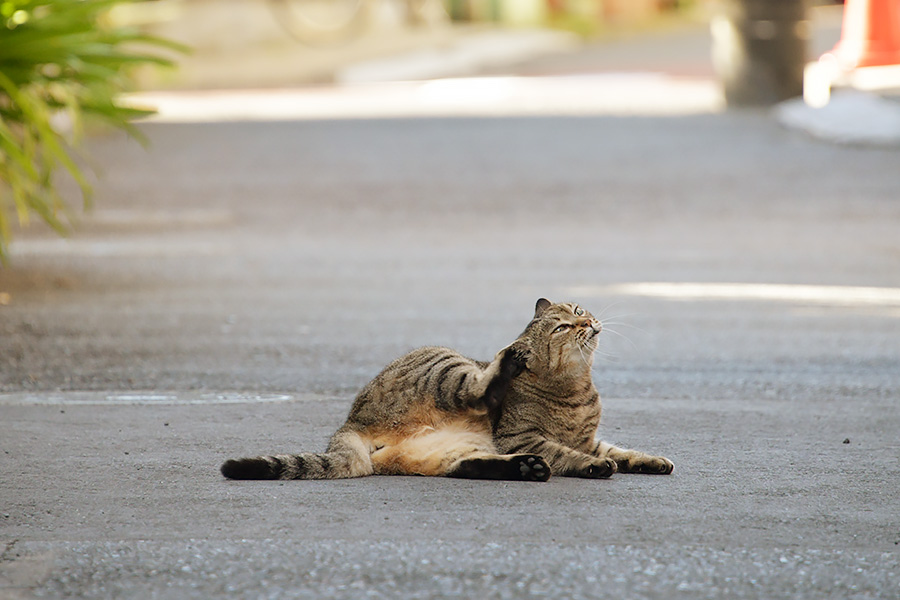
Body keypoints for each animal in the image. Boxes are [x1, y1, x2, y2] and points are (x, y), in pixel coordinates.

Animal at [221, 300, 672, 482]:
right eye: (562, 327)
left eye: (578, 310)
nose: (589, 321)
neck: (577, 389)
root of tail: (350, 421)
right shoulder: (522, 437)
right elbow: (571, 455)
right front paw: (593, 467)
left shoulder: (589, 438)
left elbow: (624, 451)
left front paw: (651, 460)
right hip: (447, 367)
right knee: (479, 388)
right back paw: (506, 366)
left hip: (449, 449)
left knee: (465, 466)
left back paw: (523, 469)